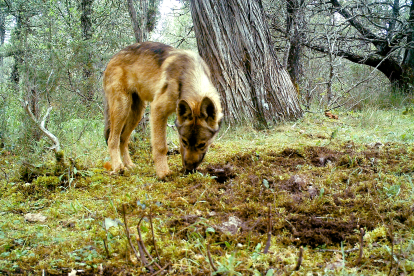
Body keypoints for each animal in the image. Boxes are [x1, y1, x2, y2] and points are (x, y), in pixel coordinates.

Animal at [102, 41, 222, 179]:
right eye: (185, 141)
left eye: (202, 144)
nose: (189, 169)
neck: (190, 74)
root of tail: (112, 58)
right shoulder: (158, 109)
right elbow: (161, 146)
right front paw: (163, 173)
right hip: (122, 107)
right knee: (112, 139)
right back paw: (118, 167)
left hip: (137, 113)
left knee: (123, 139)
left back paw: (129, 165)